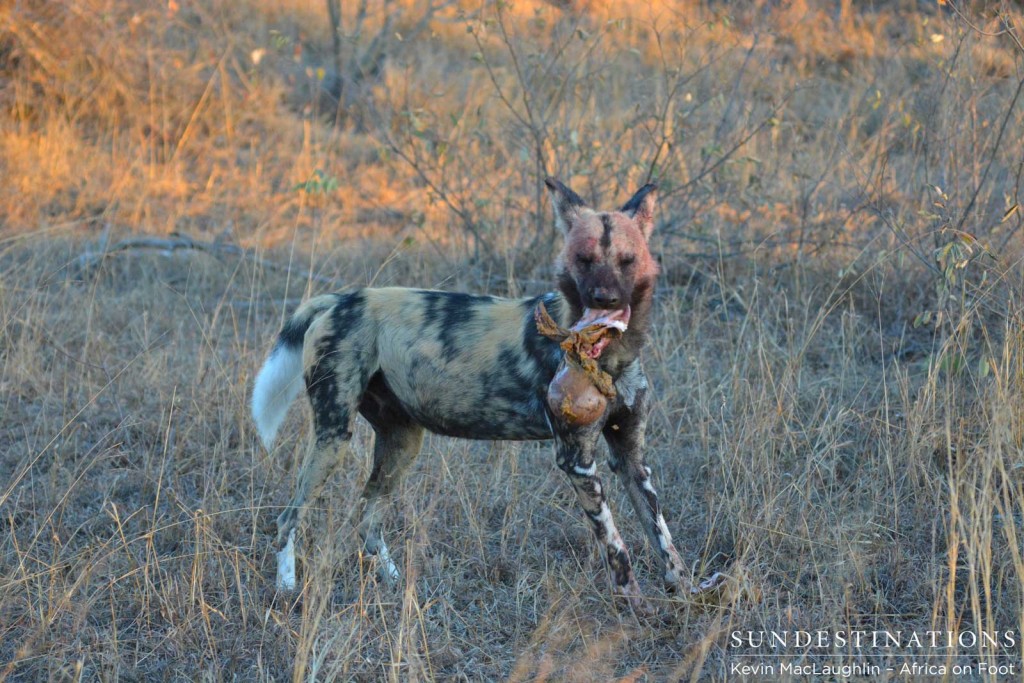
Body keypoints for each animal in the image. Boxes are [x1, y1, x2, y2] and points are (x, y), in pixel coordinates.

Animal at [252, 178, 700, 610]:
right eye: (584, 260)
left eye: (627, 260)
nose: (604, 299)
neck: (611, 356)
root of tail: (342, 298)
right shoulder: (577, 462)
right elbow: (616, 546)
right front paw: (635, 606)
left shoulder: (631, 459)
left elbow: (663, 537)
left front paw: (688, 595)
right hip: (334, 437)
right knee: (288, 518)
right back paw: (287, 589)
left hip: (402, 442)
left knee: (367, 518)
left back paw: (397, 583)